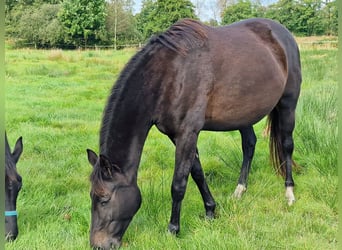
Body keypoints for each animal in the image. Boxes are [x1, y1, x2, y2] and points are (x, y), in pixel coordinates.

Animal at [87, 17, 300, 248]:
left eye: (104, 199)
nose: (98, 244)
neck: (170, 74)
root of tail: (283, 34)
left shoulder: (187, 133)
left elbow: (179, 184)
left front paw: (173, 230)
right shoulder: (177, 135)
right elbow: (197, 173)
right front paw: (210, 211)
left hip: (288, 104)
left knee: (287, 145)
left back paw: (289, 193)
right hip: (245, 114)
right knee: (249, 145)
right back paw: (239, 190)